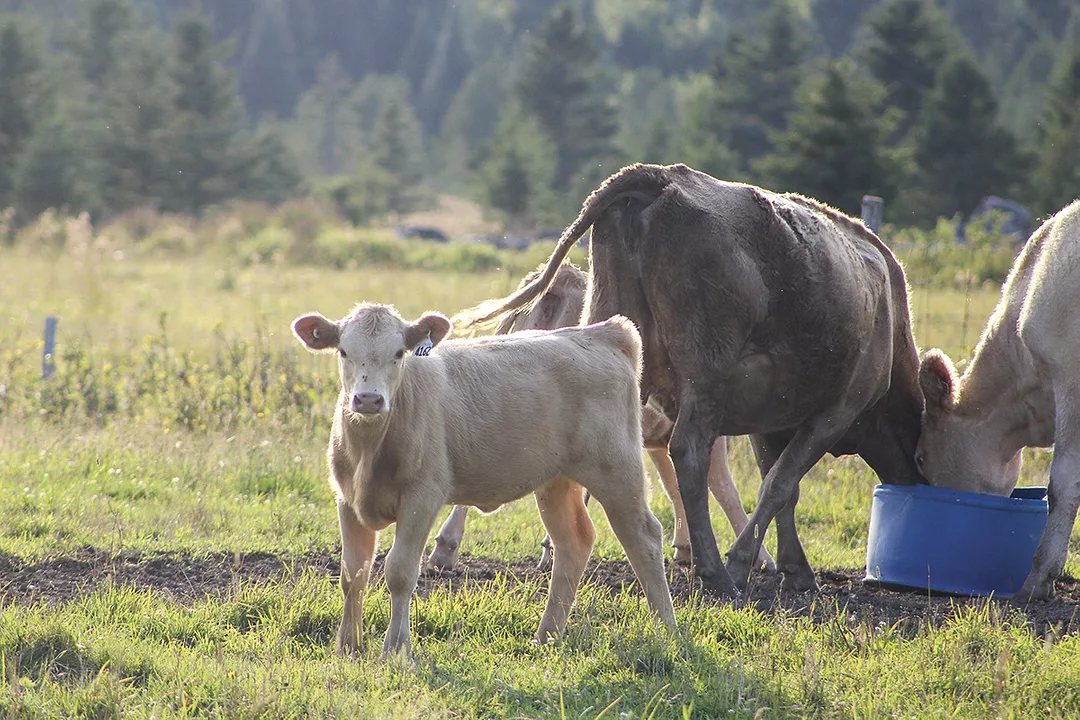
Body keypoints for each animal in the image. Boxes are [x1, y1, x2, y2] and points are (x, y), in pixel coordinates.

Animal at [291, 302, 676, 657]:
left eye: (399, 353)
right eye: (344, 351)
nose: (369, 399)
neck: (371, 449)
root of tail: (599, 333)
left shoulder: (422, 497)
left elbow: (399, 572)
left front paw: (395, 650)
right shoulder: (347, 500)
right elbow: (352, 574)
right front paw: (348, 648)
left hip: (616, 469)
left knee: (643, 537)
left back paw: (667, 631)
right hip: (556, 481)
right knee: (574, 543)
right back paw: (546, 637)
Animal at [427, 262, 775, 573]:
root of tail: (563, 280)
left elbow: (675, 484)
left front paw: (686, 546)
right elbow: (722, 488)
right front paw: (759, 557)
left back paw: (446, 548)